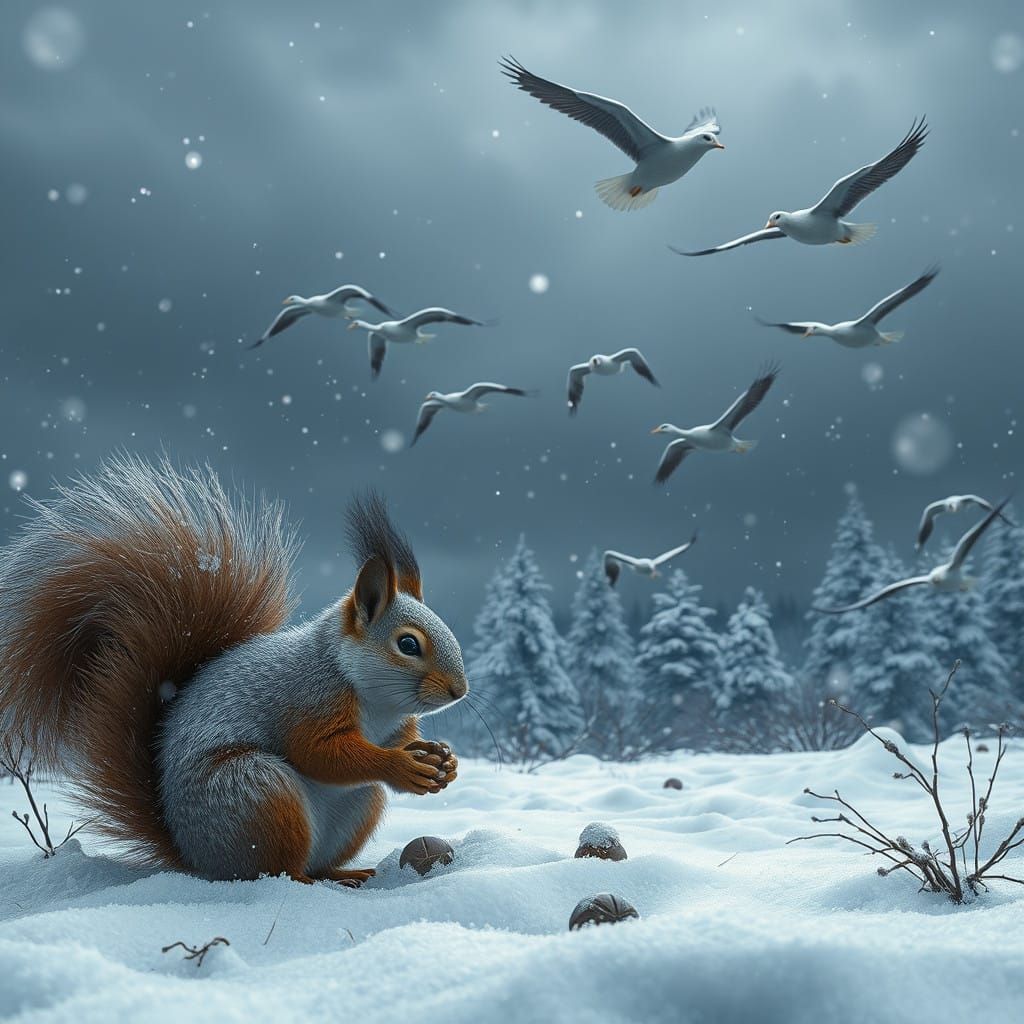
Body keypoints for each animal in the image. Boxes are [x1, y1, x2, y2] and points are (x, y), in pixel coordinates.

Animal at [0, 456, 467, 884]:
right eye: (408, 644)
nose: (459, 690)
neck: (376, 701)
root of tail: (196, 859)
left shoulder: (393, 726)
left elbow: (396, 742)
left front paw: (440, 758)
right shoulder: (309, 697)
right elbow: (316, 752)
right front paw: (401, 765)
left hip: (353, 805)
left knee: (320, 854)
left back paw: (343, 873)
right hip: (255, 792)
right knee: (276, 870)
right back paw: (308, 881)